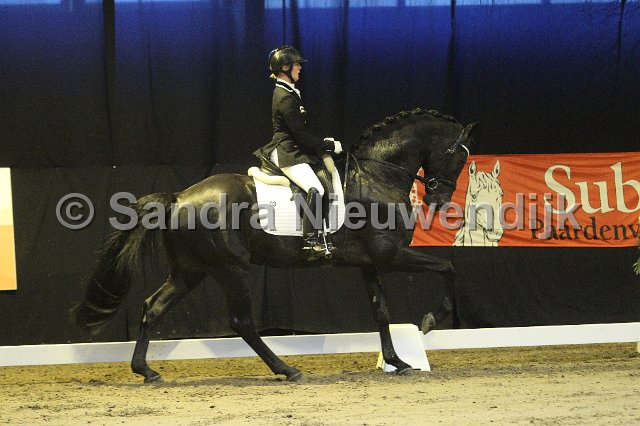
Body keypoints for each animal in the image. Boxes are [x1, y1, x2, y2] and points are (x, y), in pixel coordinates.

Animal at [72, 108, 478, 383]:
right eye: (460, 156)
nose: (439, 201)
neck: (376, 174)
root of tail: (178, 198)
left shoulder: (369, 262)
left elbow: (381, 312)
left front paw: (398, 362)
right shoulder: (390, 254)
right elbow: (449, 268)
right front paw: (431, 320)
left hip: (191, 271)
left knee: (152, 307)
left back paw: (146, 371)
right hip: (231, 269)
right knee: (242, 322)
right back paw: (287, 369)